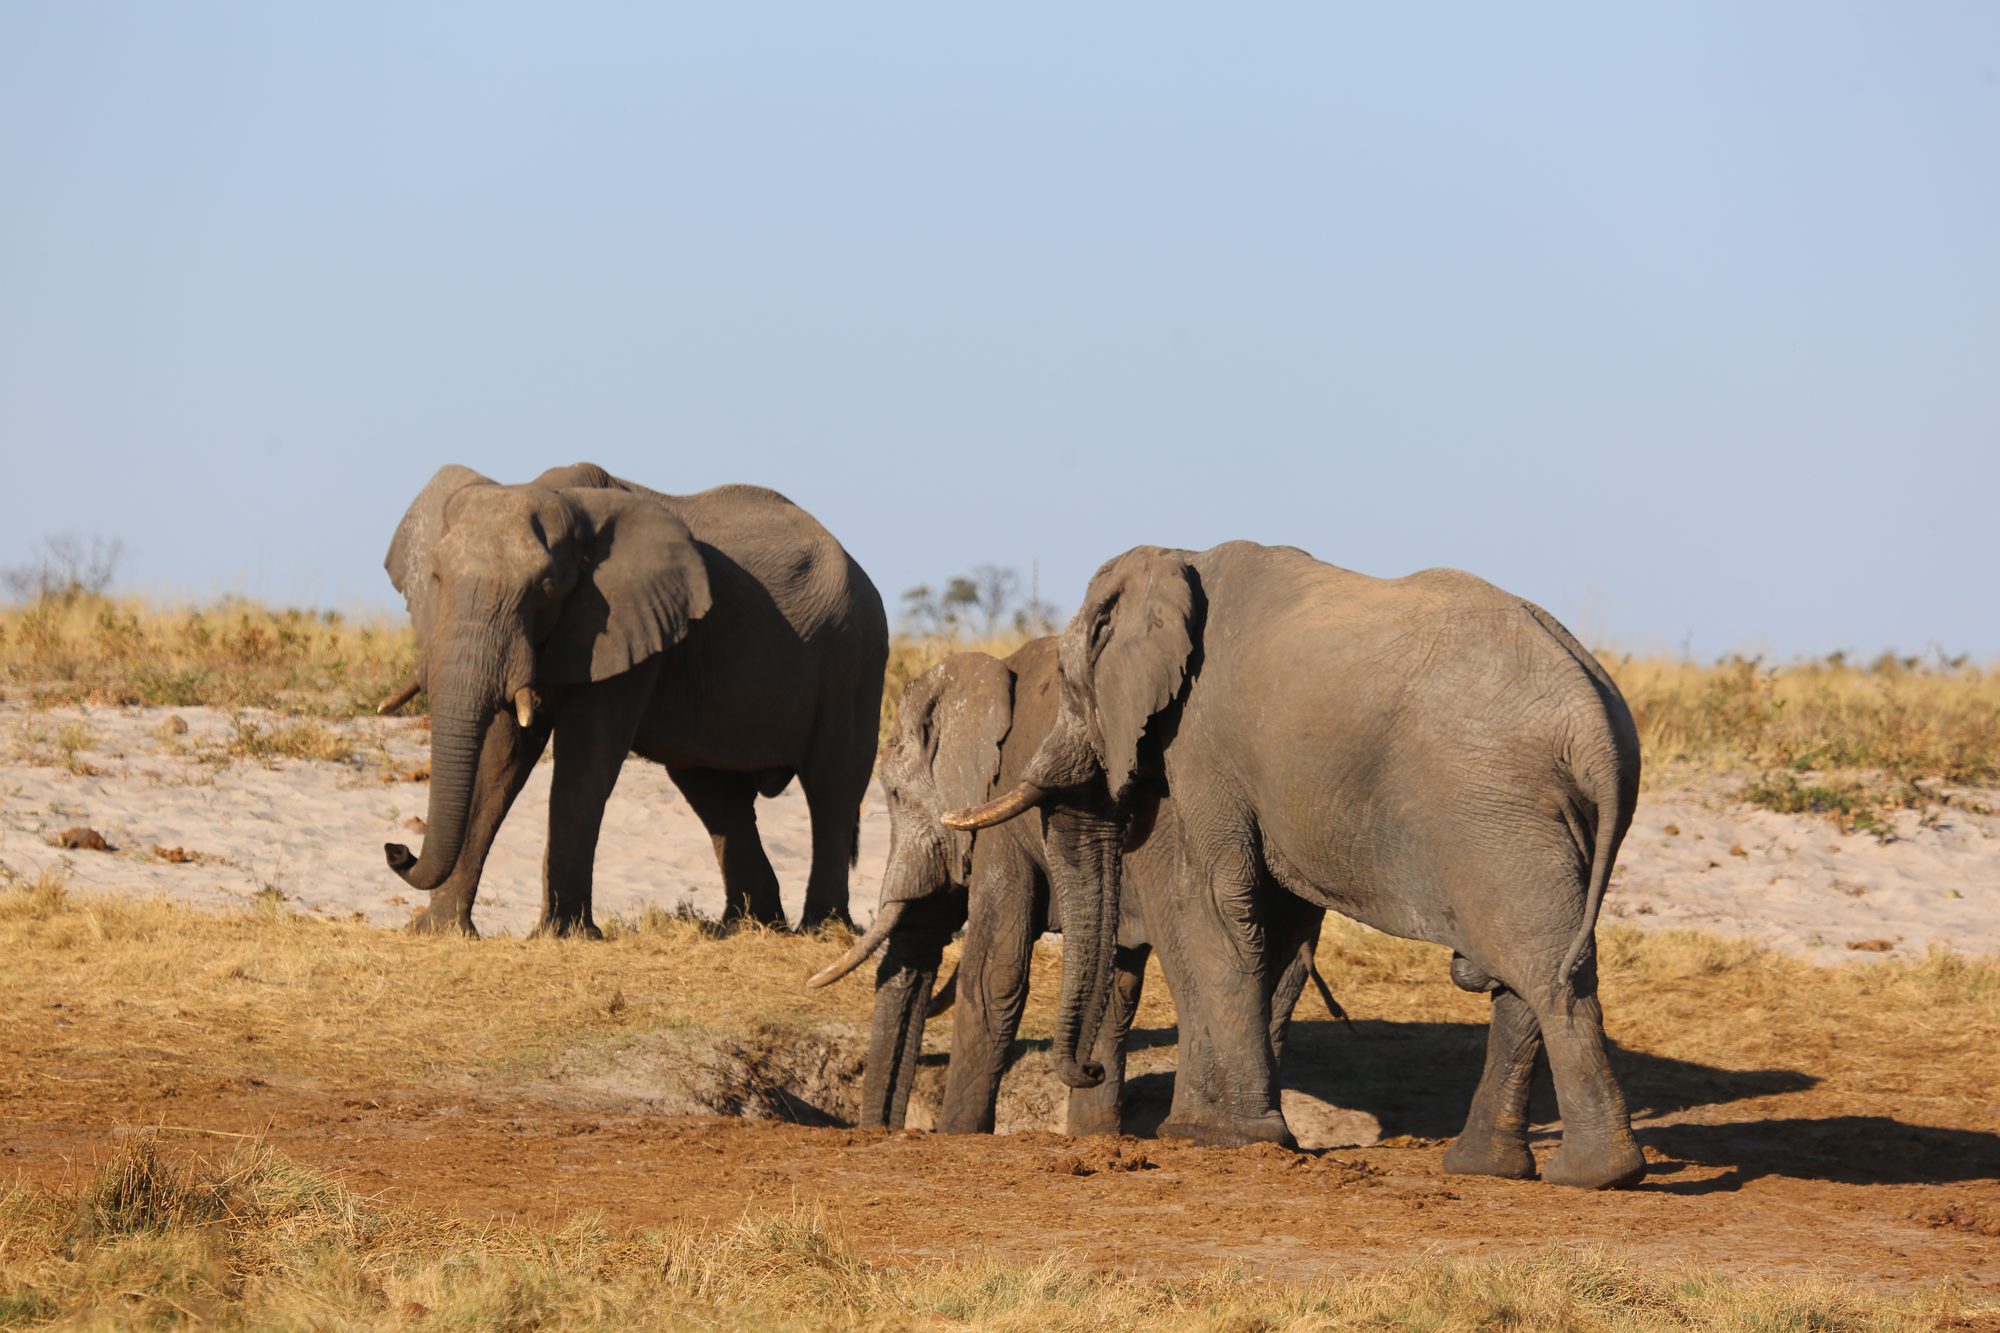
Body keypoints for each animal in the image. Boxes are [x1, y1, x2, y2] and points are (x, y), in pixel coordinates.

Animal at [379, 462, 887, 936]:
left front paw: (564, 936)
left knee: (832, 787)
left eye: (545, 589)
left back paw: (822, 930)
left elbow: (584, 761)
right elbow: (499, 758)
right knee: (716, 794)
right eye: (437, 578)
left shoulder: (628, 625)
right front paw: (440, 931)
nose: (396, 849)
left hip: (855, 657)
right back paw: (747, 927)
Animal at [807, 638, 1326, 1140]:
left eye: (893, 795)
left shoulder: (1000, 817)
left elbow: (993, 974)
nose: (883, 1127)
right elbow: (1113, 984)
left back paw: (1195, 1130)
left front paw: (957, 1134)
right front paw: (1093, 1135)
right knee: (1280, 973)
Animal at [946, 542, 1645, 1188]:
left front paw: (1232, 1139)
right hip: (1535, 822)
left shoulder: (1200, 743)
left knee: (1540, 968)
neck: (1180, 559)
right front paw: (1223, 1131)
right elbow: (1273, 929)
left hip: (1496, 813)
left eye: (1069, 684)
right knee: (1534, 970)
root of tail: (1594, 720)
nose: (1087, 1069)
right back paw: (1488, 1168)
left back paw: (1592, 1175)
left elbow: (1218, 908)